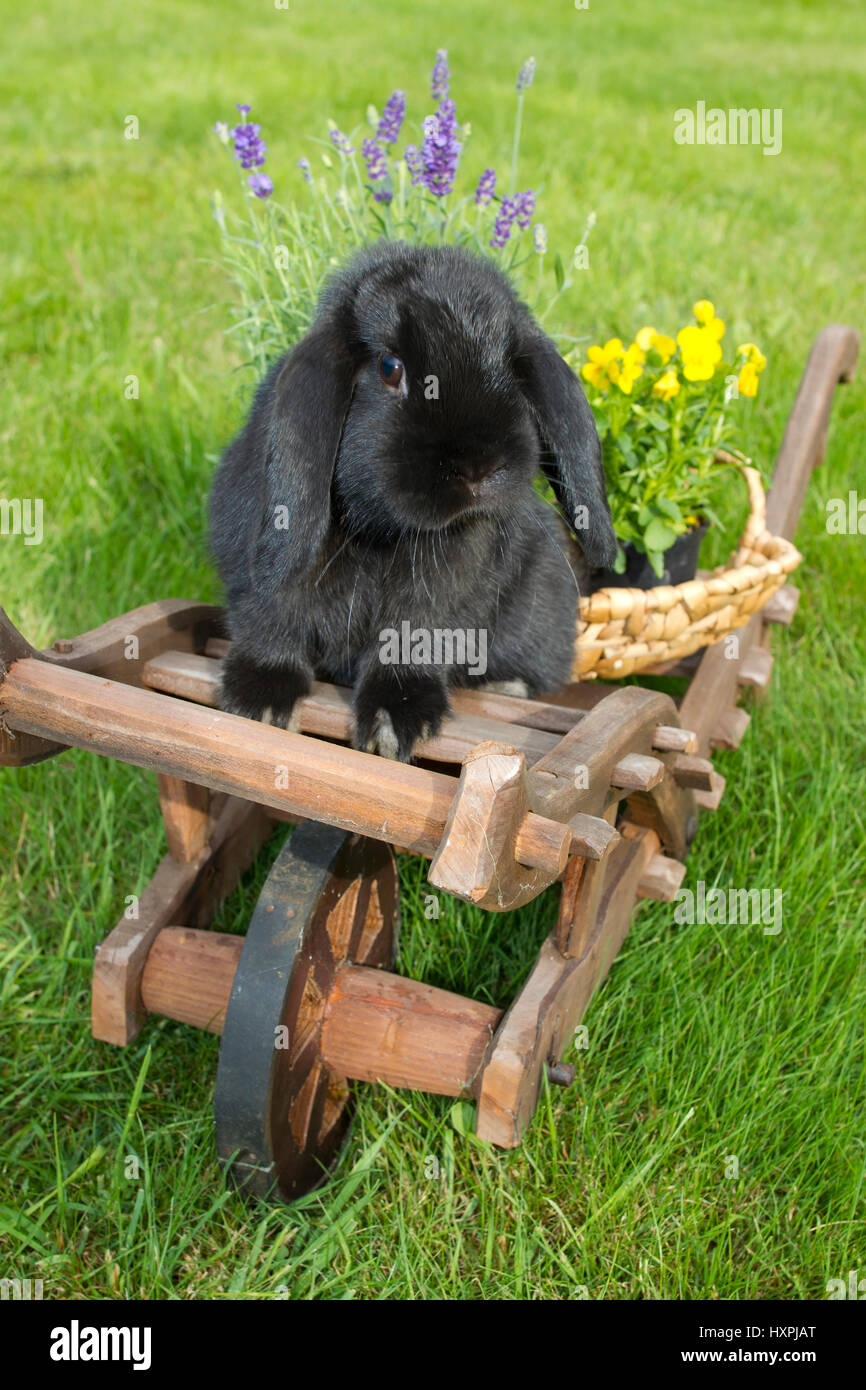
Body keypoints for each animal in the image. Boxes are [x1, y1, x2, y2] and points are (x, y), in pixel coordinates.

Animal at [209, 239, 616, 762]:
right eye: (390, 368)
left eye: (512, 366)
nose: (478, 466)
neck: (380, 534)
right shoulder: (260, 578)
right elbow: (270, 621)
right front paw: (258, 700)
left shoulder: (435, 602)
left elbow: (412, 641)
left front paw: (396, 723)